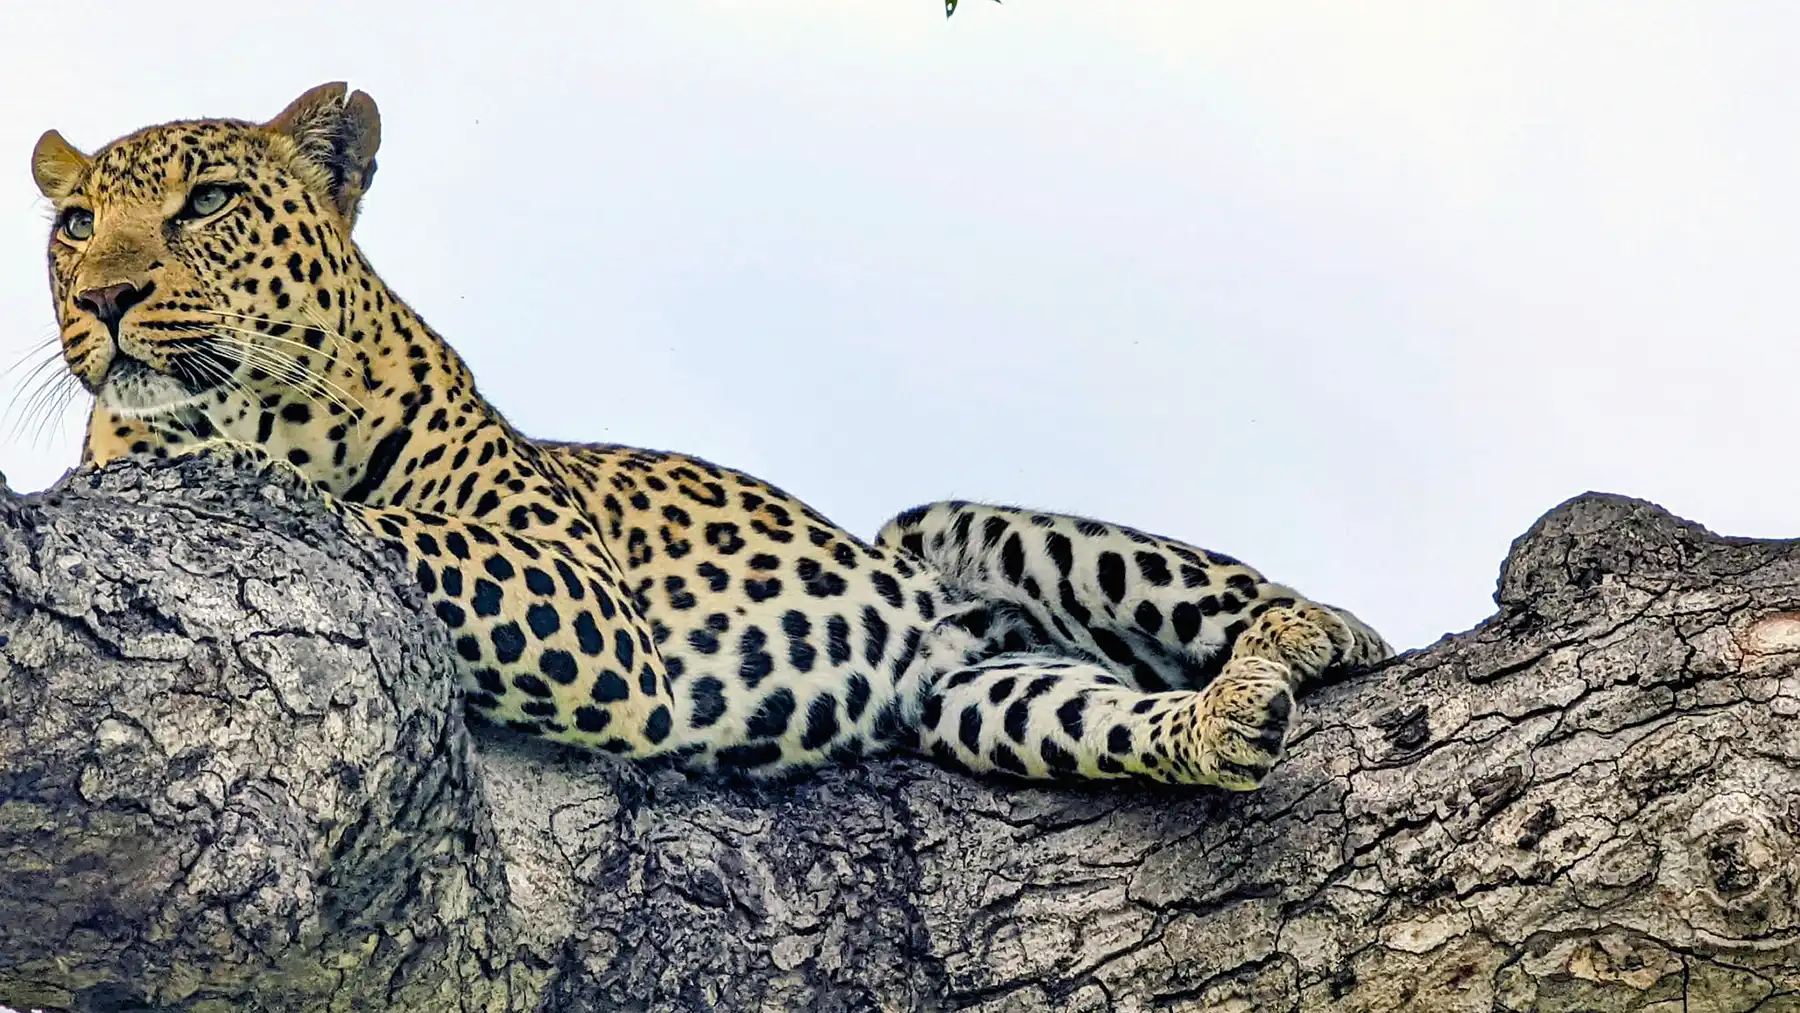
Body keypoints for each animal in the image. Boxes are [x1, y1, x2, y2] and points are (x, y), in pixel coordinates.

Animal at [28, 83, 1393, 791]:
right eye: (75, 223)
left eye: (208, 202)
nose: (104, 297)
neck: (259, 411)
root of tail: (958, 633)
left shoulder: (580, 591)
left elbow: (381, 517)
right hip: (980, 696)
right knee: (1100, 708)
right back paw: (1218, 723)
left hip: (959, 528)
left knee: (1309, 616)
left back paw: (1288, 643)